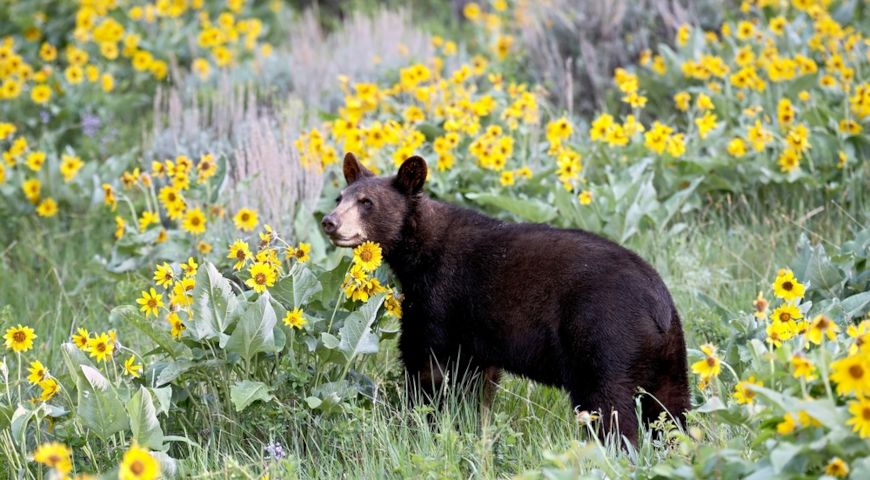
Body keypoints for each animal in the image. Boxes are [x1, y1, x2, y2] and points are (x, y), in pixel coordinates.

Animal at [321, 153, 691, 446]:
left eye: (367, 203)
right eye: (339, 197)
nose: (329, 221)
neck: (420, 253)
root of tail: (658, 307)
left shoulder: (440, 299)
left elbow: (427, 366)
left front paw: (422, 426)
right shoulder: (475, 339)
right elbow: (477, 386)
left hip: (603, 337)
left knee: (608, 405)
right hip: (671, 357)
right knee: (671, 410)